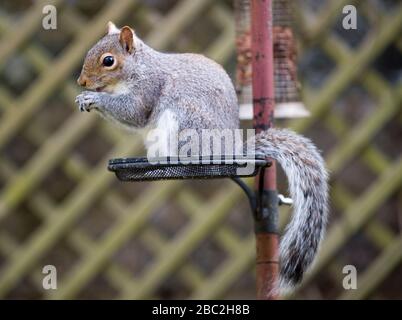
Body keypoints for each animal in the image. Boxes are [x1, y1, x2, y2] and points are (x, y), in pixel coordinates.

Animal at [76, 21, 330, 294]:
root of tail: (229, 151)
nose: (81, 81)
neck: (139, 69)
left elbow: (133, 112)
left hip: (186, 121)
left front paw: (94, 98)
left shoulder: (148, 90)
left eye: (108, 61)